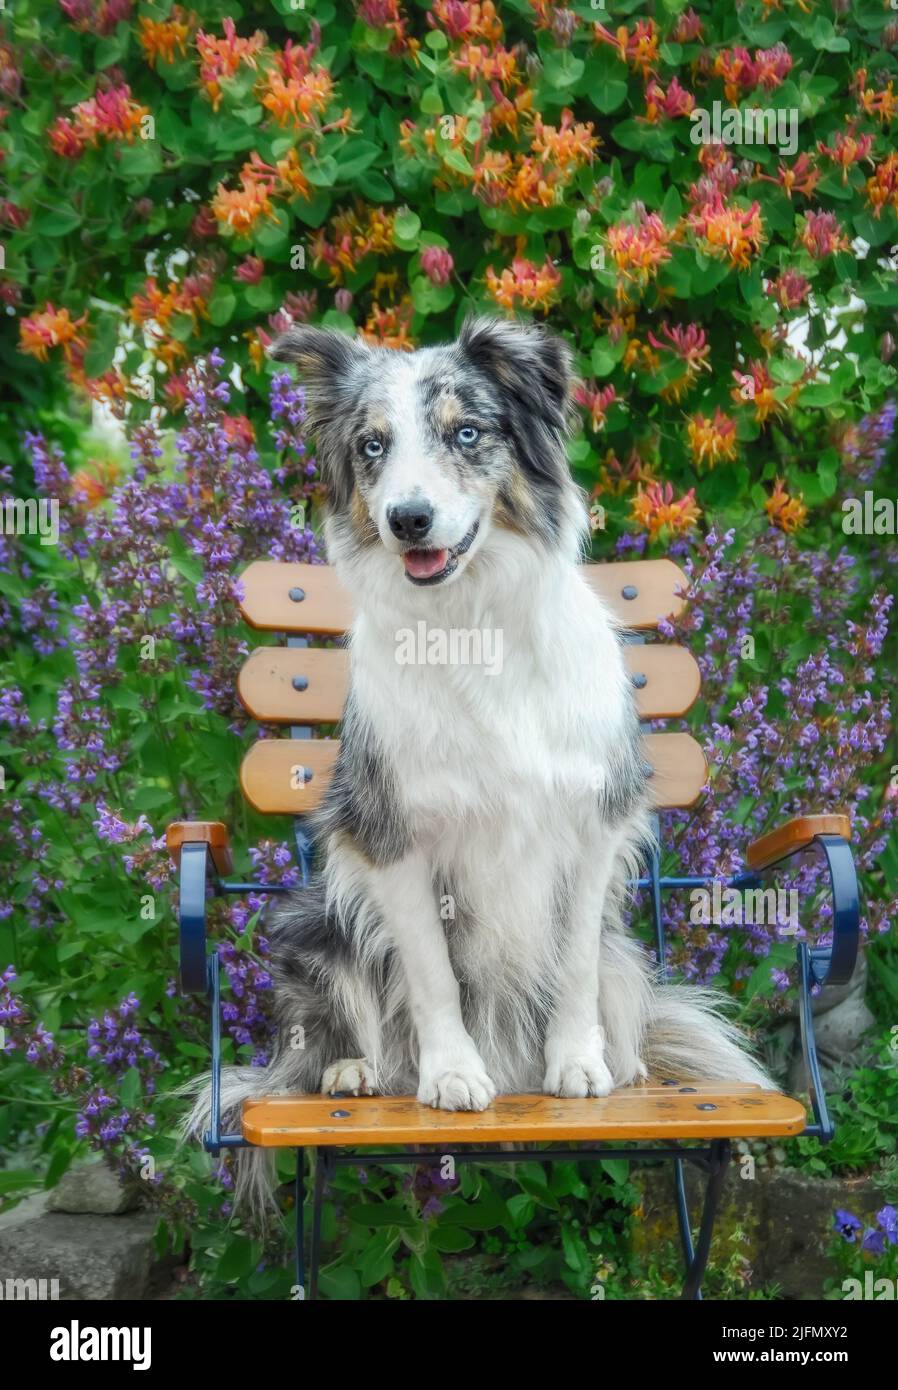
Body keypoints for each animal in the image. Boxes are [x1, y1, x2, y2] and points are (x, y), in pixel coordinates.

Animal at [186, 318, 772, 1217]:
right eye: (372, 446)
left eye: (467, 433)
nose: (408, 519)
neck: (471, 624)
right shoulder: (393, 838)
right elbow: (431, 974)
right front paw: (453, 1075)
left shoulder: (591, 826)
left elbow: (570, 965)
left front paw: (579, 1063)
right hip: (315, 923)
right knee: (330, 1023)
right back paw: (352, 1070)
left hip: (623, 951)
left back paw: (624, 1059)